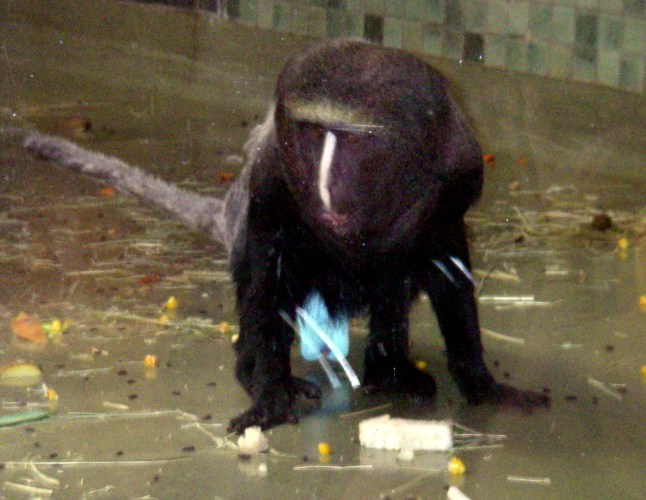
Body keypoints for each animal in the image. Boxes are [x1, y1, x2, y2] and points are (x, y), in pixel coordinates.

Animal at [24, 39, 550, 434]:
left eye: (352, 141)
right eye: (312, 134)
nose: (323, 185)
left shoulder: (454, 178)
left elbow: (447, 270)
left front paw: (481, 384)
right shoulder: (273, 173)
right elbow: (267, 276)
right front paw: (271, 395)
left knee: (395, 284)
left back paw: (390, 371)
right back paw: (253, 368)